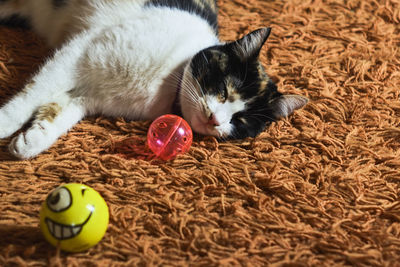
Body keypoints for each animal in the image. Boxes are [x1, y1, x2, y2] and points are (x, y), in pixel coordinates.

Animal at [0, 0, 308, 159]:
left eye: (240, 121)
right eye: (223, 90)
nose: (216, 120)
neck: (167, 80)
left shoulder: (90, 96)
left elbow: (60, 109)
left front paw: (31, 141)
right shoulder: (81, 51)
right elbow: (36, 90)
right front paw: (4, 123)